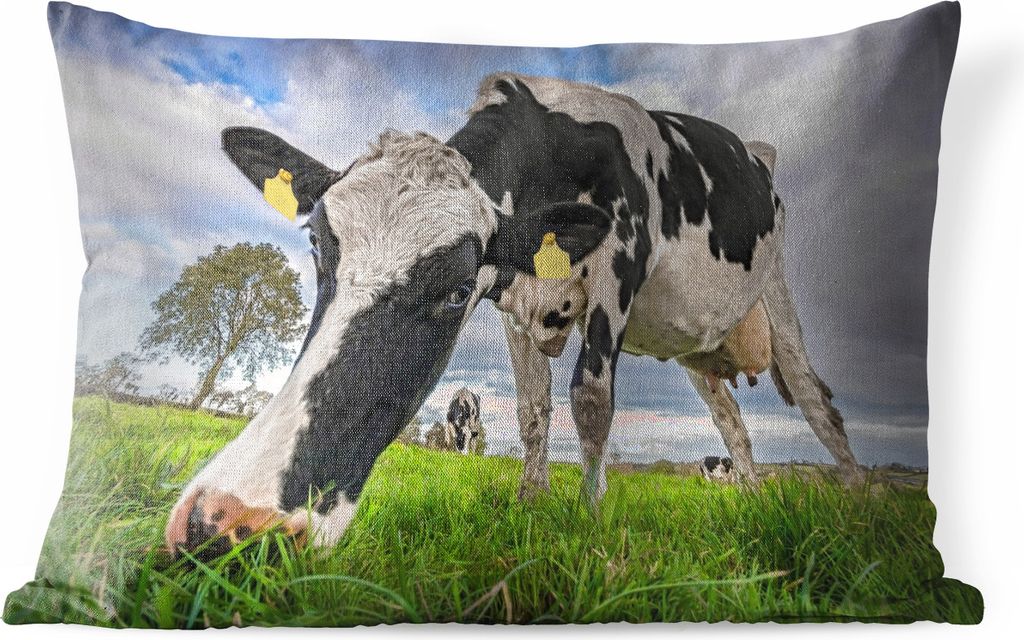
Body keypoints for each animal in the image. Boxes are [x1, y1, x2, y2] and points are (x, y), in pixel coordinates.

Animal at [165, 72, 865, 553]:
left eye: (455, 290)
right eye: (317, 249)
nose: (229, 520)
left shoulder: (619, 265)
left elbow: (590, 398)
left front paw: (590, 517)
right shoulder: (515, 302)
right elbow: (532, 410)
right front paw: (533, 502)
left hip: (777, 292)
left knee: (818, 404)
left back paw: (860, 504)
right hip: (696, 347)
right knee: (731, 423)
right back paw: (753, 501)